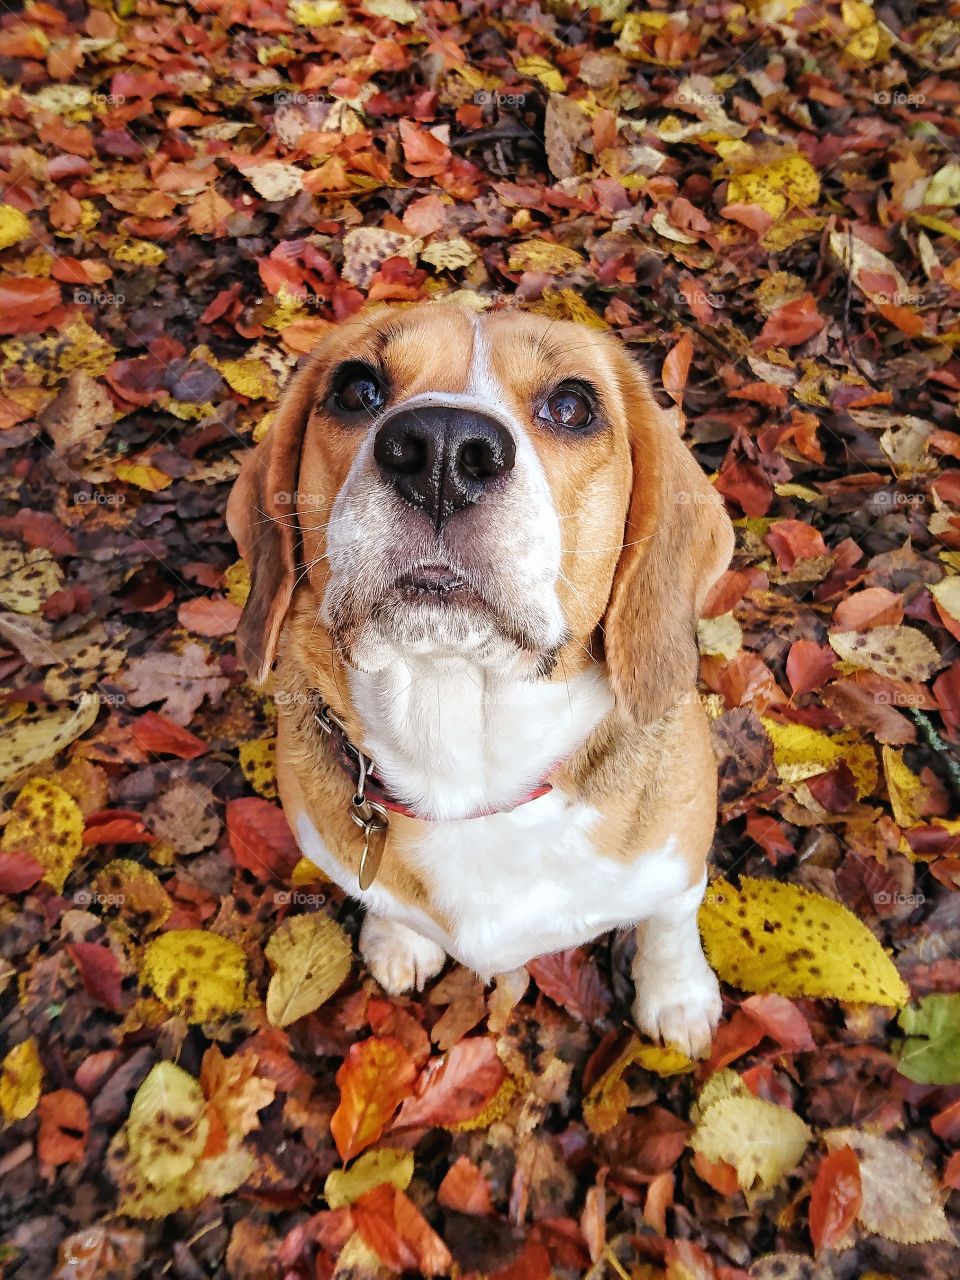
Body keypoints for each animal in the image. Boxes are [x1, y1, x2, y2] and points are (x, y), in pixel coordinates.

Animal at [227, 302, 737, 1059]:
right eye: (355, 389)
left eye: (573, 406)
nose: (441, 449)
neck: (465, 768)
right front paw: (398, 939)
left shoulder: (678, 863)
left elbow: (668, 926)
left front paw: (677, 998)